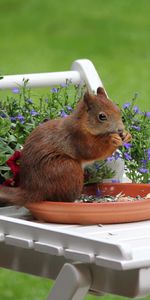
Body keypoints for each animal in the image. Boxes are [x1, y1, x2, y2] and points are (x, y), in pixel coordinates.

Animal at [0, 86, 131, 204]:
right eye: (102, 116)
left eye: (118, 110)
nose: (120, 130)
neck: (83, 124)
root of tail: (32, 190)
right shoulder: (78, 138)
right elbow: (92, 150)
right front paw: (112, 139)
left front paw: (127, 135)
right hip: (67, 168)